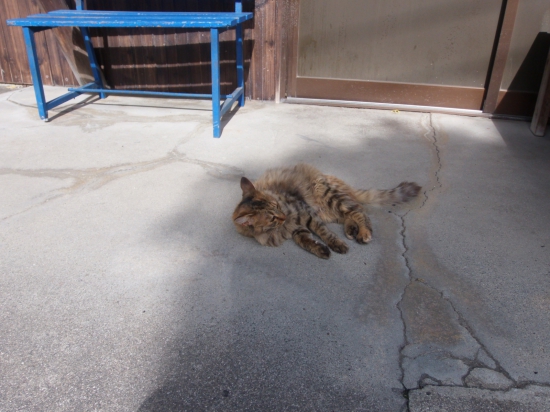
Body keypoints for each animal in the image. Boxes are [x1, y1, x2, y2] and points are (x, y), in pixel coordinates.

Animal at [233, 163, 422, 258]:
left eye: (277, 206)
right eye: (272, 218)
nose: (284, 216)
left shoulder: (306, 213)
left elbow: (324, 233)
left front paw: (336, 244)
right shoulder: (297, 227)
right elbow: (305, 241)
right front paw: (321, 250)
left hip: (328, 196)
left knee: (359, 212)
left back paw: (364, 232)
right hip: (329, 211)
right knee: (349, 214)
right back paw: (351, 230)